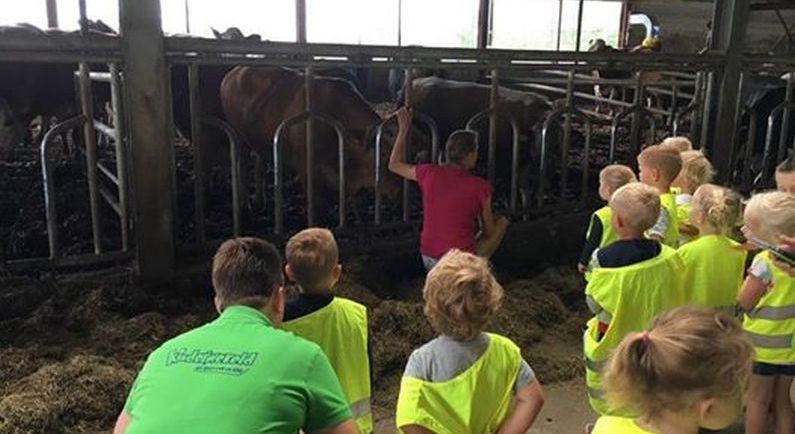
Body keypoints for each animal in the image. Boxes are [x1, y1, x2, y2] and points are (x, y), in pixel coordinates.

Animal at [219, 66, 402, 222]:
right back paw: (245, 205)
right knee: (242, 168)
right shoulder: (306, 167)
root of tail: (233, 73)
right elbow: (318, 207)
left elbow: (359, 204)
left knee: (259, 166)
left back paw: (259, 201)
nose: (401, 189)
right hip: (239, 137)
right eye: (383, 153)